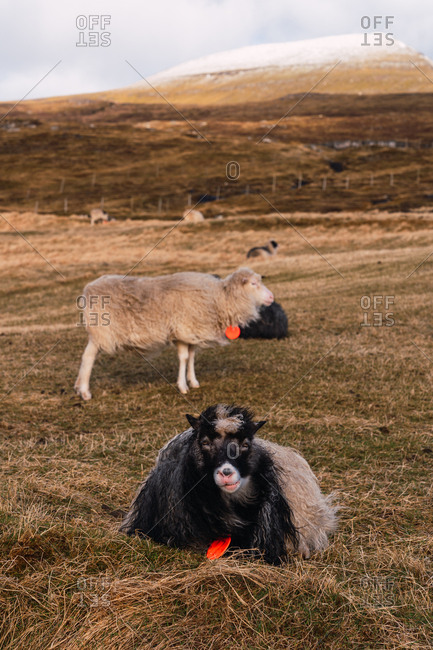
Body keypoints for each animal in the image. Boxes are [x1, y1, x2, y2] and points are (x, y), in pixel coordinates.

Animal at [74, 268, 274, 400]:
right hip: (101, 332)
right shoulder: (182, 330)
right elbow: (184, 358)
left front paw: (193, 381)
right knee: (88, 357)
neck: (219, 299)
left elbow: (192, 357)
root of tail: (88, 288)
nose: (271, 298)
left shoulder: (192, 331)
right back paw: (85, 391)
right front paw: (183, 386)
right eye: (254, 284)